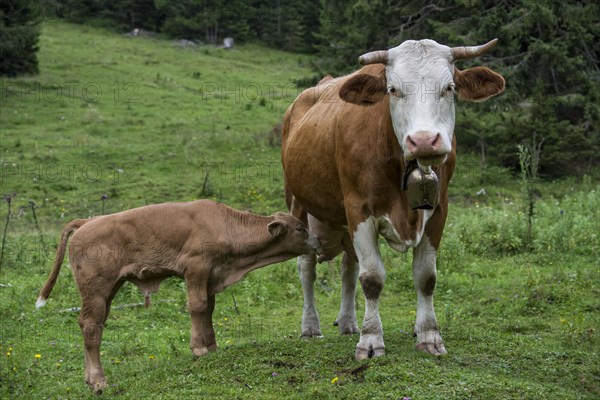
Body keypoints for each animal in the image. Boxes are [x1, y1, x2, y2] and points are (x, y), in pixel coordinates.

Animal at [35, 200, 322, 394]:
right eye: (300, 228)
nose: (318, 240)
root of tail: (86, 222)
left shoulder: (211, 275)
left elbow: (208, 310)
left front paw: (212, 347)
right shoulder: (196, 267)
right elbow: (197, 306)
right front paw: (199, 349)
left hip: (109, 288)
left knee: (92, 324)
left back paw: (88, 377)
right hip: (97, 288)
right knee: (91, 326)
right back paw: (98, 380)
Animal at [278, 39, 504, 360]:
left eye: (449, 87)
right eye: (393, 89)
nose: (424, 141)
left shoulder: (439, 210)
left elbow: (426, 277)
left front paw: (429, 335)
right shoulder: (359, 210)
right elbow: (372, 278)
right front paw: (371, 340)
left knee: (349, 269)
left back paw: (348, 323)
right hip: (299, 205)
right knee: (306, 267)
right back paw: (310, 326)